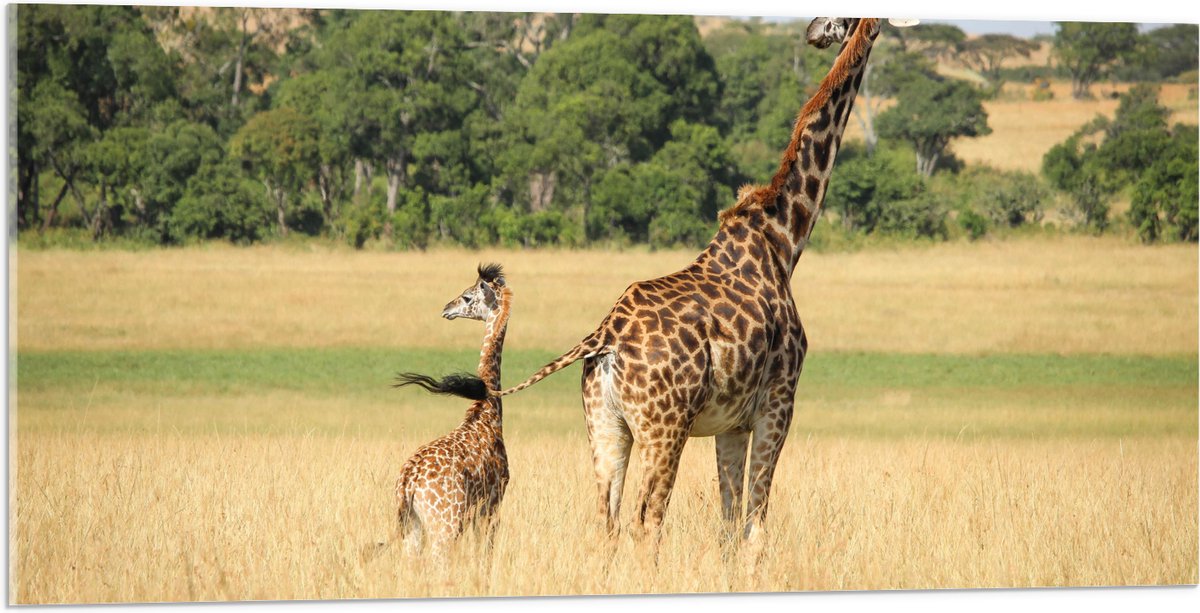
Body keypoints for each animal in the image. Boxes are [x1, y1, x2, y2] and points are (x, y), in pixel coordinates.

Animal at [389, 263, 512, 556]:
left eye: (467, 297)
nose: (447, 308)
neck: (486, 411)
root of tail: (408, 482)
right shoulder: (493, 503)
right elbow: (485, 554)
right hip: (445, 525)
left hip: (414, 527)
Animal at [431, 18, 901, 547]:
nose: (814, 31)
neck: (784, 238)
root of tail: (603, 337)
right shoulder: (779, 402)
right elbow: (755, 523)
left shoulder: (732, 423)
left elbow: (728, 522)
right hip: (665, 428)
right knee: (647, 520)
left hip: (605, 424)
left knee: (607, 520)